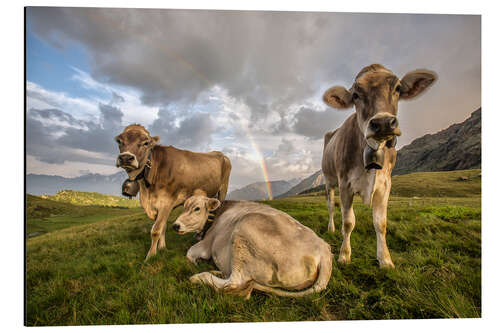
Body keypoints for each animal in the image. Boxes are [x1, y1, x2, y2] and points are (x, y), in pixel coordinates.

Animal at [115, 123, 232, 260]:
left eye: (146, 143)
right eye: (119, 141)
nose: (126, 158)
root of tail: (219, 153)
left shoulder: (166, 202)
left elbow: (156, 230)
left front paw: (150, 256)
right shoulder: (158, 205)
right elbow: (163, 226)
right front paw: (162, 248)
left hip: (223, 188)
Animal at [172, 193, 332, 296]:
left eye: (197, 208)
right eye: (184, 207)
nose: (175, 225)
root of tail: (323, 249)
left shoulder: (207, 244)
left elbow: (190, 253)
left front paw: (196, 262)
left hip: (245, 228)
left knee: (235, 282)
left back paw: (199, 277)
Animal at [322, 64, 436, 268]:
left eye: (398, 88)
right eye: (355, 95)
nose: (383, 123)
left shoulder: (385, 185)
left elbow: (380, 223)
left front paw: (385, 259)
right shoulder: (345, 184)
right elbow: (348, 222)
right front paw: (344, 255)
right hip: (329, 181)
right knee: (331, 207)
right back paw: (332, 228)